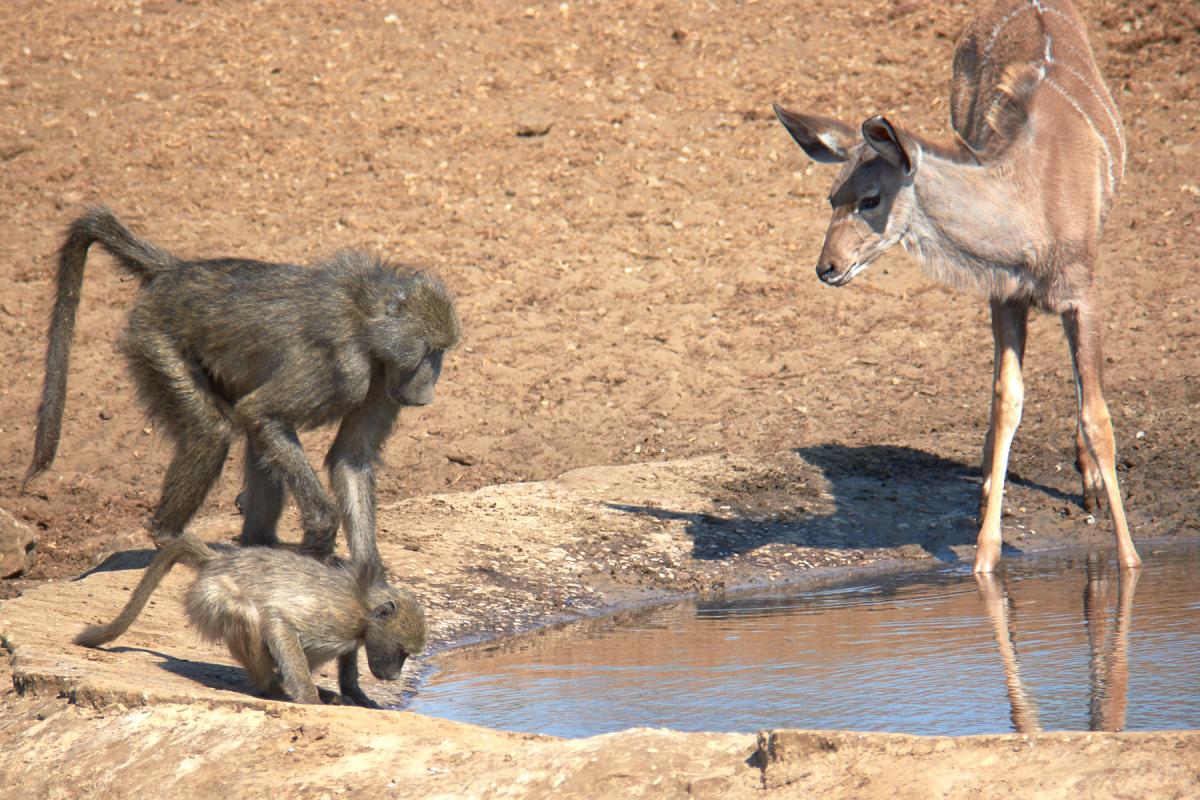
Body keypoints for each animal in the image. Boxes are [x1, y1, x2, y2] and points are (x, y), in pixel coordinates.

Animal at [26, 207, 462, 564]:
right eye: (429, 351)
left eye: (441, 352)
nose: (429, 389)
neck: (366, 322)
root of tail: (174, 272)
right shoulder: (343, 368)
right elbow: (262, 412)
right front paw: (321, 530)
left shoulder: (384, 384)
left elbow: (351, 458)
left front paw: (372, 578)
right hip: (154, 339)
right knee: (213, 431)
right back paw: (173, 538)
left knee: (254, 438)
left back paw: (259, 541)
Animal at [74, 532, 427, 708]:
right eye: (402, 653)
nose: (394, 676)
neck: (364, 606)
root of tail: (218, 560)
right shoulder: (336, 621)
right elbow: (277, 623)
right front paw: (310, 699)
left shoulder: (354, 636)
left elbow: (349, 671)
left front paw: (360, 698)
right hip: (212, 596)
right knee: (247, 615)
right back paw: (273, 687)